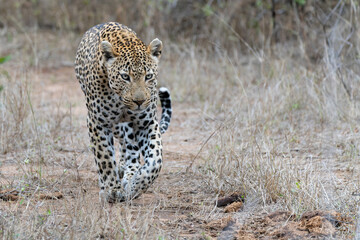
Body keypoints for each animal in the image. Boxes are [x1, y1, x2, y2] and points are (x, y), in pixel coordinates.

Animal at [74, 22, 172, 202]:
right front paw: (112, 189)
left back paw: (129, 173)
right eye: (125, 77)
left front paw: (136, 184)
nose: (139, 101)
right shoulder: (97, 123)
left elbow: (155, 160)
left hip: (126, 126)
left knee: (130, 149)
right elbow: (104, 157)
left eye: (148, 76)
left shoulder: (147, 123)